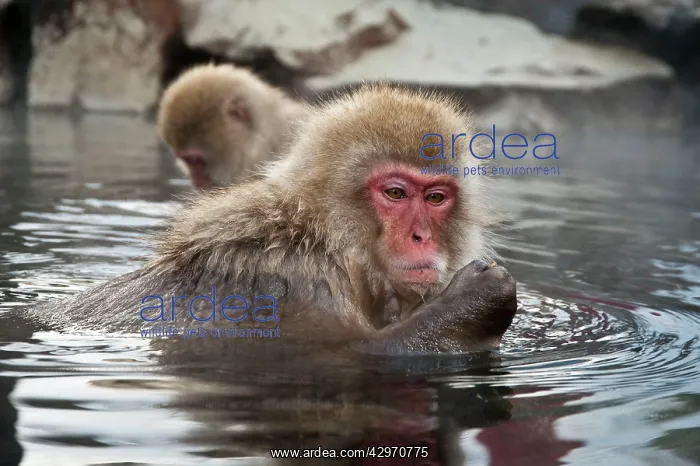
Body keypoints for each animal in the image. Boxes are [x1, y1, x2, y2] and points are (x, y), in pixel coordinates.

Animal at [30, 83, 517, 356]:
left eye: (436, 198)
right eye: (395, 193)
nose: (421, 237)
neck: (324, 238)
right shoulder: (287, 281)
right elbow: (355, 352)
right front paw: (477, 297)